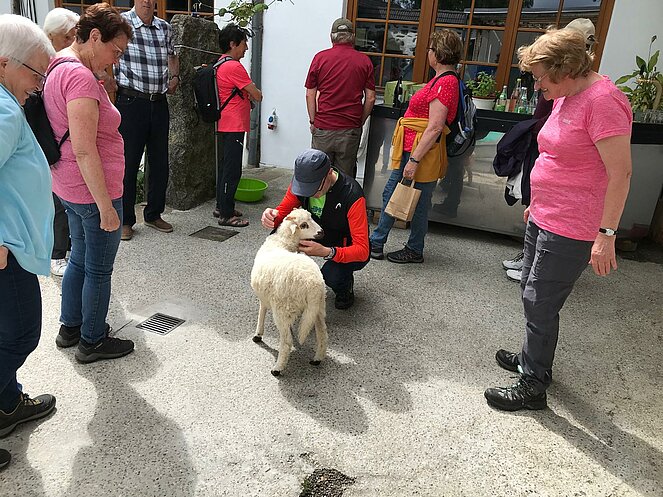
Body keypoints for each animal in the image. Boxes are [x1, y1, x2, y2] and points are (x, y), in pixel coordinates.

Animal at [250, 208, 328, 376]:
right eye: (304, 224)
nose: (322, 232)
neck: (281, 243)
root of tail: (313, 284)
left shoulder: (265, 297)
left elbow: (261, 312)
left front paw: (258, 334)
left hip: (282, 308)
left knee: (286, 342)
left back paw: (277, 368)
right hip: (318, 308)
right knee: (323, 335)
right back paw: (317, 359)